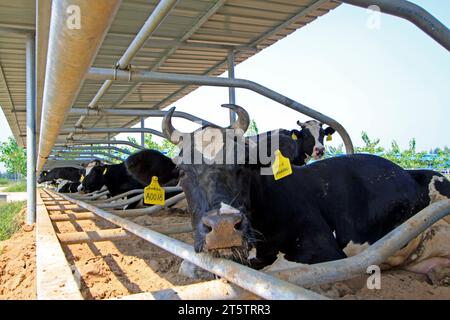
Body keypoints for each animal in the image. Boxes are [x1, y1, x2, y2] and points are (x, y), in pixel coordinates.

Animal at [127, 104, 450, 284]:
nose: (223, 228)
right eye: (182, 171)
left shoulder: (325, 248)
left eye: (245, 164)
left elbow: (275, 270)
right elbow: (187, 266)